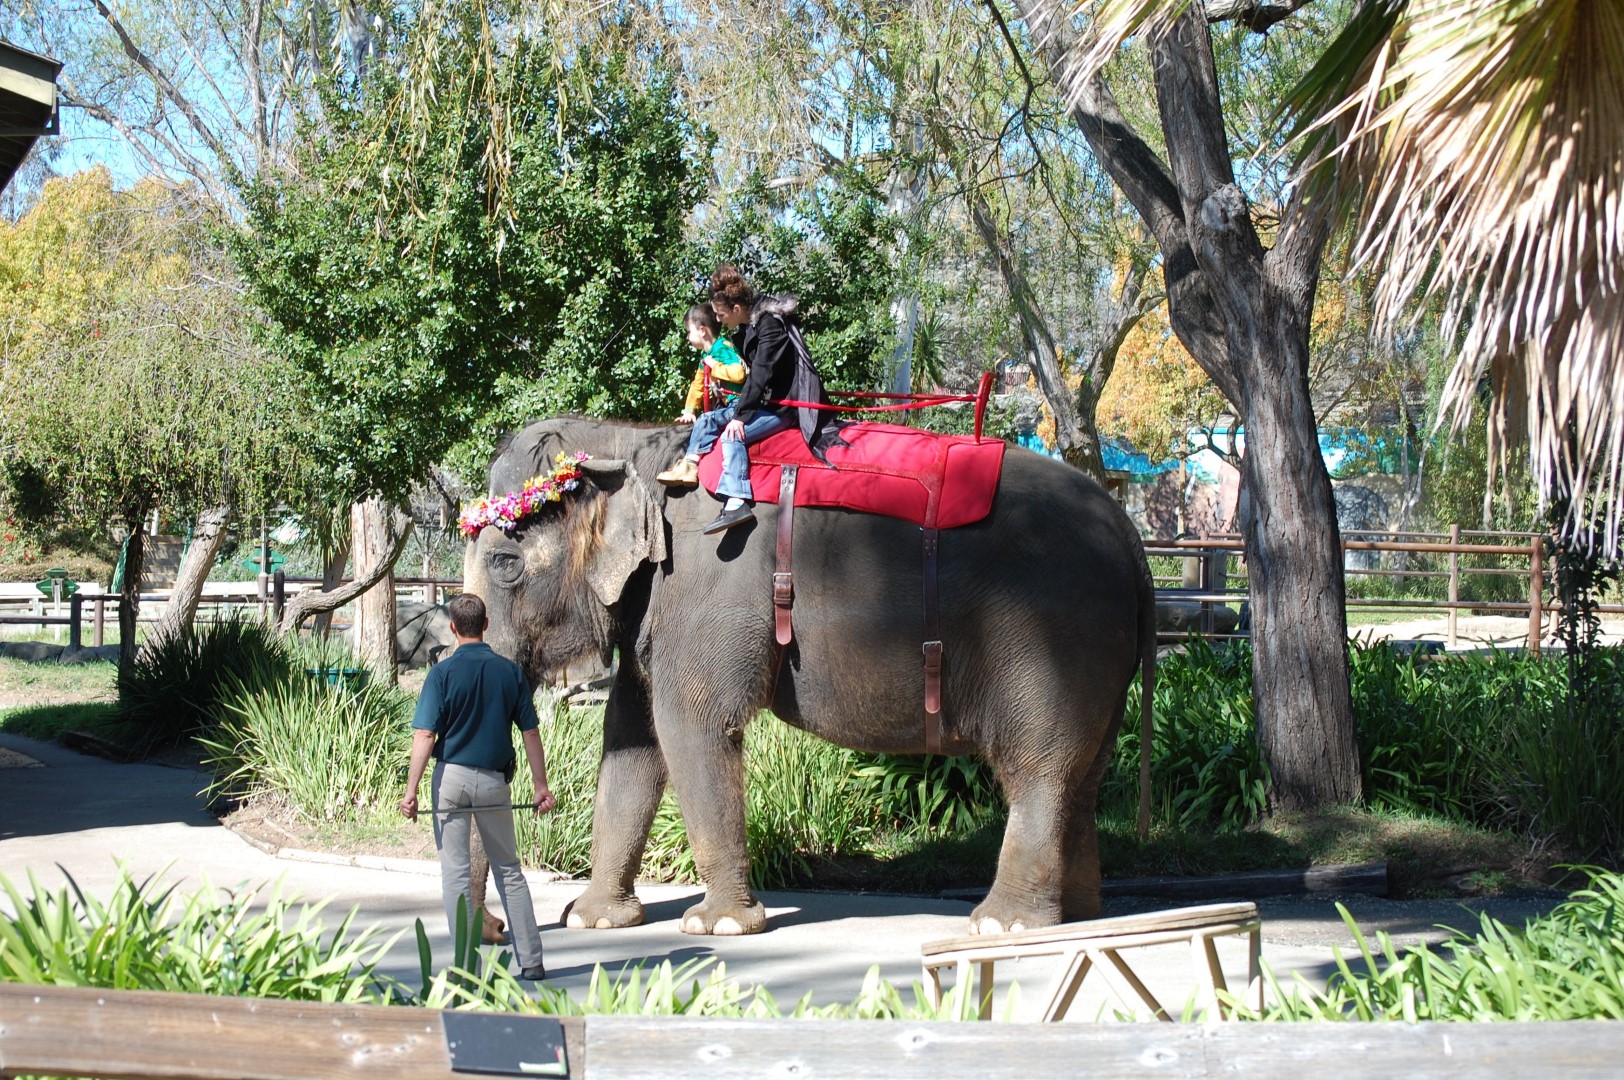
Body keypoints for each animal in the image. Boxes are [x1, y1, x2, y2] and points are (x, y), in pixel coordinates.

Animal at [466, 416, 1155, 936]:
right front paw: (593, 921)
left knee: (1039, 768)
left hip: (1051, 643)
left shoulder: (707, 586)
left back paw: (1002, 926)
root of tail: (1132, 537)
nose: (493, 932)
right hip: (1097, 660)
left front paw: (717, 926)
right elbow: (631, 740)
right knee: (1082, 775)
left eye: (504, 563)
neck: (637, 443)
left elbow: (691, 724)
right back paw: (1077, 917)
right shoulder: (655, 603)